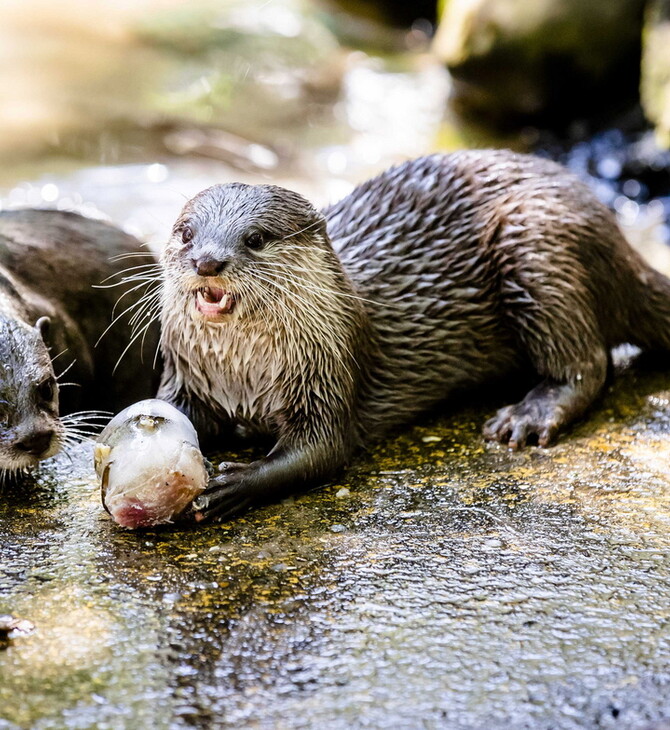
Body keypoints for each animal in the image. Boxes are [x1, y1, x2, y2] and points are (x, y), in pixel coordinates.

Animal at [159, 151, 670, 520]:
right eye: (186, 234)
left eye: (256, 239)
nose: (207, 261)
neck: (242, 375)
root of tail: (617, 237)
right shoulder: (186, 377)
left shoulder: (329, 371)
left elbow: (321, 450)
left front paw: (234, 482)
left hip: (537, 248)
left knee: (587, 363)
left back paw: (527, 416)